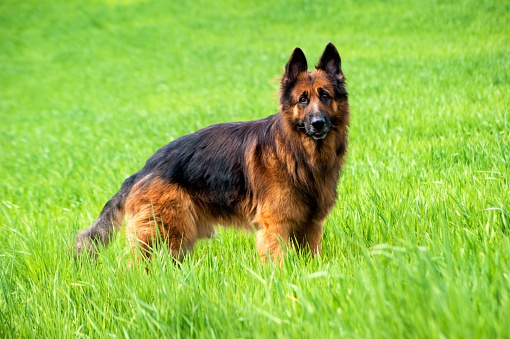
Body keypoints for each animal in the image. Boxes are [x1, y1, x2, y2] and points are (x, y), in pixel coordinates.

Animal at [73, 42, 348, 262]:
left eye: (325, 96)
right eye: (303, 99)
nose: (318, 124)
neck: (297, 153)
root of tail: (144, 169)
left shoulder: (311, 226)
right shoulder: (275, 226)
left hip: (178, 239)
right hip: (163, 232)